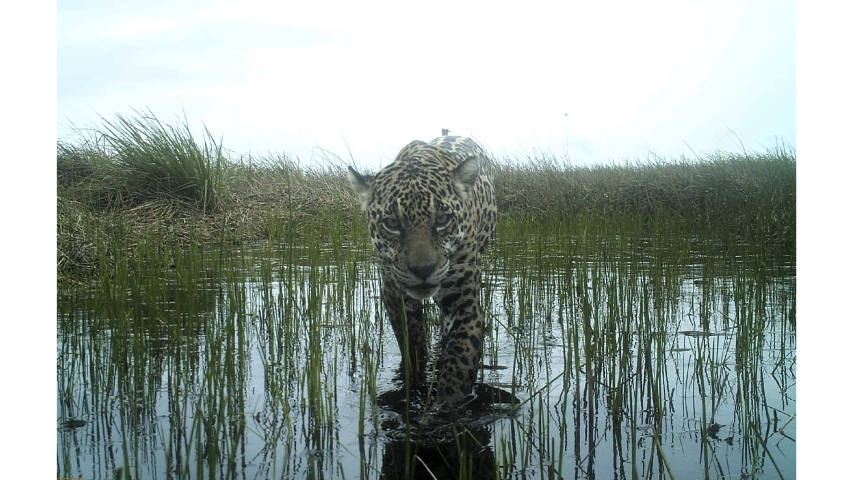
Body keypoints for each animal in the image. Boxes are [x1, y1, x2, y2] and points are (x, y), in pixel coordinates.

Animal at [347, 136, 497, 410]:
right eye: (392, 223)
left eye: (442, 219)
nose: (423, 269)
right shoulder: (395, 295)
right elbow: (412, 346)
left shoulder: (464, 303)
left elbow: (461, 359)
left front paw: (448, 405)